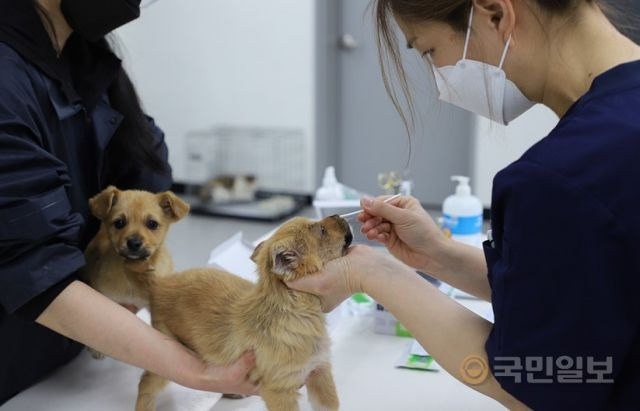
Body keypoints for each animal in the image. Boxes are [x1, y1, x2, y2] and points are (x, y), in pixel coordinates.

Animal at [136, 216, 356, 411]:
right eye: (322, 231)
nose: (338, 215)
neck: (297, 313)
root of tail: (160, 283)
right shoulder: (280, 391)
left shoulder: (320, 371)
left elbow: (330, 405)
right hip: (164, 357)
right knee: (146, 384)